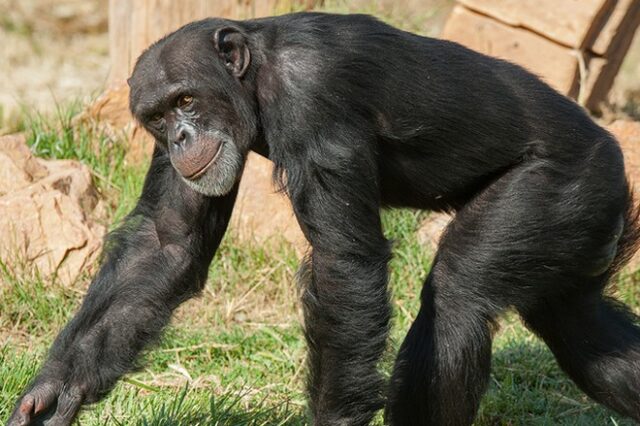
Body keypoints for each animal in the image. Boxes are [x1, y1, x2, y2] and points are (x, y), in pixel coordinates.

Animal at [7, 11, 640, 424]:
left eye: (187, 100)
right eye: (159, 117)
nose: (182, 136)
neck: (258, 74)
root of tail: (609, 147)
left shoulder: (314, 94)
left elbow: (344, 264)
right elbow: (167, 244)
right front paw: (57, 389)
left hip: (557, 188)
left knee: (460, 295)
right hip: (575, 227)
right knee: (586, 336)